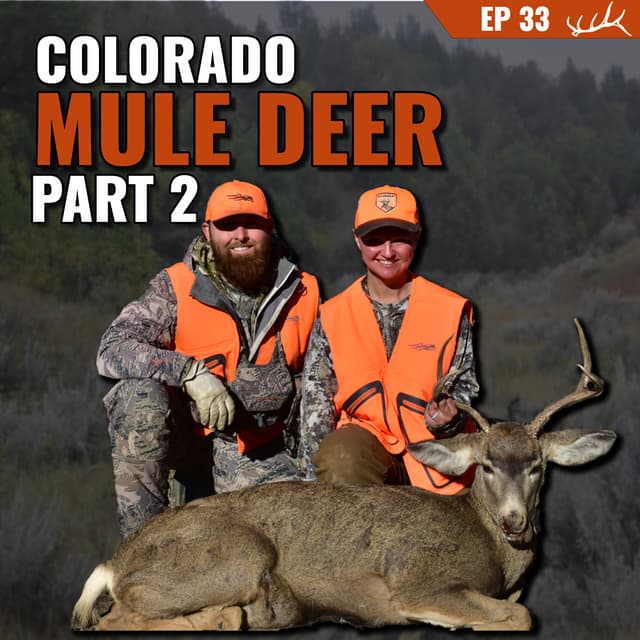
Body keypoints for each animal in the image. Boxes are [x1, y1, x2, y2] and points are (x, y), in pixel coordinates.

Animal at [71, 318, 617, 632]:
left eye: (537, 465)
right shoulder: (417, 581)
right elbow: (519, 615)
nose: (514, 521)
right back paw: (243, 615)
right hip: (238, 554)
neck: (493, 550)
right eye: (485, 465)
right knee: (121, 617)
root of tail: (114, 562)